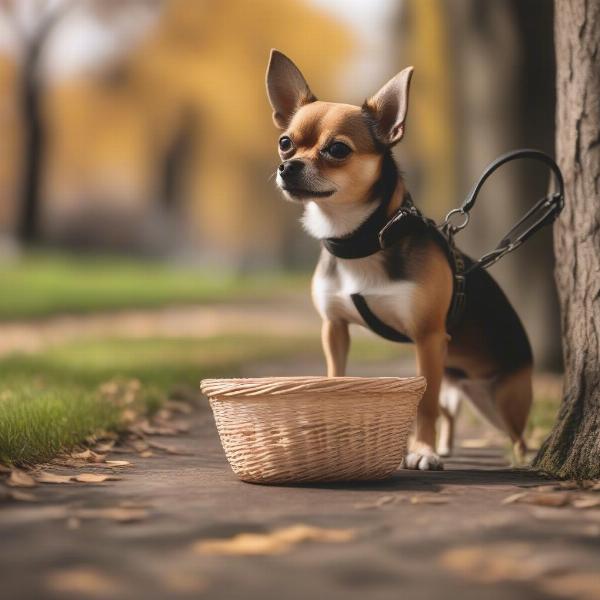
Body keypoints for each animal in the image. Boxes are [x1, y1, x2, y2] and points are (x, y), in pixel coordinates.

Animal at [264, 50, 532, 468]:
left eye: (337, 149)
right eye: (286, 142)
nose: (287, 166)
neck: (360, 240)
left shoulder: (427, 338)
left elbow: (425, 404)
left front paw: (421, 452)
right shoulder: (334, 328)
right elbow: (336, 378)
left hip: (504, 400)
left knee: (518, 433)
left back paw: (520, 459)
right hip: (456, 380)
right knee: (450, 411)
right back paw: (446, 445)